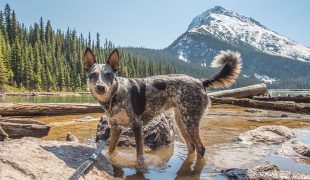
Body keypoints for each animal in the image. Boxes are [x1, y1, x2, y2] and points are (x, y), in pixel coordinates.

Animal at [83, 47, 242, 170]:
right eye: (93, 75)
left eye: (108, 75)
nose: (100, 87)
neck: (116, 95)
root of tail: (200, 81)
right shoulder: (116, 127)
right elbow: (111, 149)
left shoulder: (136, 125)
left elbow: (140, 155)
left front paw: (140, 168)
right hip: (181, 121)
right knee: (191, 146)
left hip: (189, 122)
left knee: (200, 148)